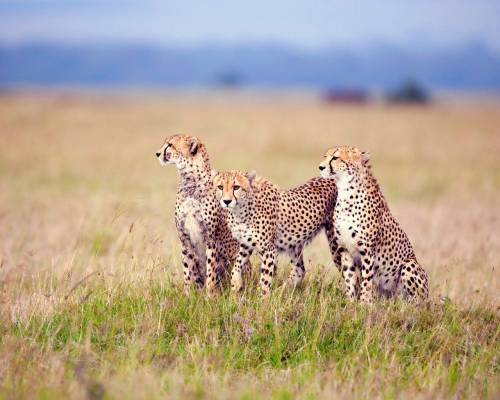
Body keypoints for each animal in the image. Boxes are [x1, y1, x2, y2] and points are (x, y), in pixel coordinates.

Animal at [156, 136, 240, 296]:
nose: (157, 153)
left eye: (170, 145)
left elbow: (211, 272)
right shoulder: (185, 238)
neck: (190, 182)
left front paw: (210, 296)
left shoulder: (211, 239)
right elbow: (188, 270)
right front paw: (189, 295)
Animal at [318, 147, 428, 304]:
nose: (320, 167)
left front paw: (364, 303)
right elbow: (350, 279)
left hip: (409, 265)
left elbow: (366, 280)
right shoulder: (345, 249)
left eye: (335, 158)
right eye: (325, 156)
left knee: (418, 302)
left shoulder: (367, 251)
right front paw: (351, 303)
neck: (346, 194)